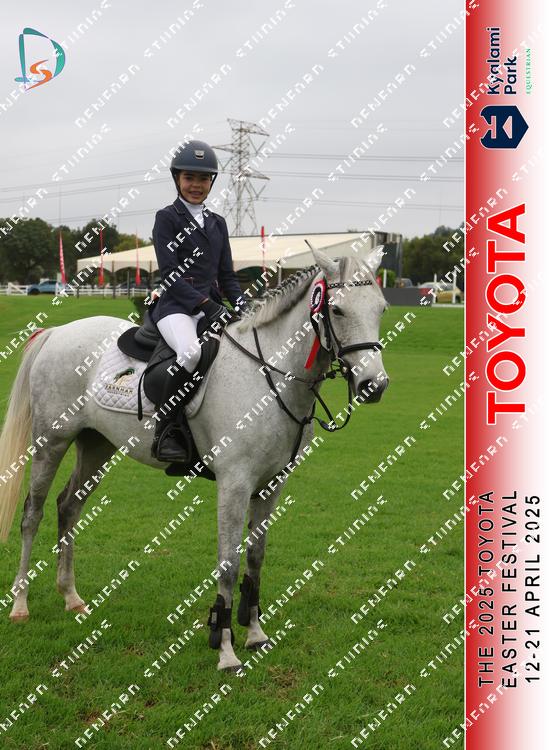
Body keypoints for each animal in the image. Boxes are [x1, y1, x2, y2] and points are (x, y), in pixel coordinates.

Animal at [0, 245, 389, 671]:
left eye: (381, 308)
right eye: (337, 310)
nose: (374, 386)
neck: (268, 374)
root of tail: (57, 332)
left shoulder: (271, 484)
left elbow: (255, 558)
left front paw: (255, 634)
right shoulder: (234, 484)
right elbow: (229, 563)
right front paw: (225, 649)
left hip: (96, 444)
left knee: (69, 506)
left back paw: (71, 598)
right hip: (51, 442)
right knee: (32, 513)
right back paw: (20, 605)